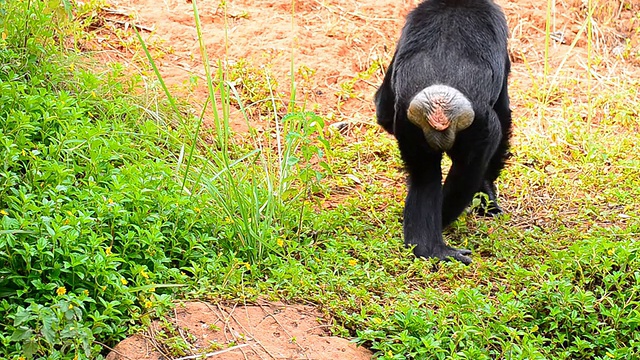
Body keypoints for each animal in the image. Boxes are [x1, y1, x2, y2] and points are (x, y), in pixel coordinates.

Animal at [376, 0, 516, 264]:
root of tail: (439, 108)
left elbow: (383, 110)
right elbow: (504, 115)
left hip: (410, 128)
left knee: (424, 177)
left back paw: (428, 249)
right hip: (480, 129)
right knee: (466, 173)